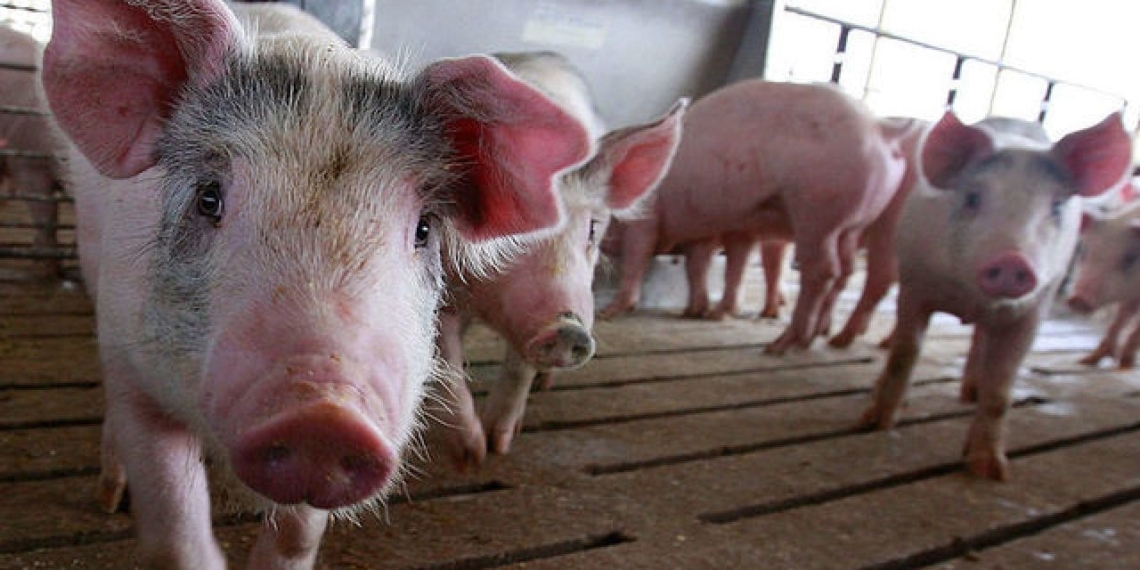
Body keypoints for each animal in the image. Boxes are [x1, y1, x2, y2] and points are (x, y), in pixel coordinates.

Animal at [43, 1, 591, 568]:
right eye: (209, 197)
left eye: (424, 228)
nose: (323, 416)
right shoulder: (130, 357)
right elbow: (175, 530)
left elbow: (296, 537)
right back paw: (110, 497)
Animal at [432, 51, 685, 470]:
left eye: (593, 228)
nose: (568, 329)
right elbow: (447, 361)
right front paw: (470, 455)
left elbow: (518, 368)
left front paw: (498, 445)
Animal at [600, 80, 907, 355]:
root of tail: (880, 128)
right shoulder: (704, 229)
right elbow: (698, 265)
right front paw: (695, 310)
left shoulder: (647, 220)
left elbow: (636, 259)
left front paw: (610, 311)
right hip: (852, 225)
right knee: (845, 270)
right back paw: (816, 339)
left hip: (819, 214)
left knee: (824, 270)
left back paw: (781, 345)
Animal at [858, 111, 1131, 481]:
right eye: (973, 197)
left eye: (1056, 206)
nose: (1012, 260)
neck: (969, 298)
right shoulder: (915, 283)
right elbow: (904, 354)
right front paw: (875, 424)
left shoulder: (1032, 311)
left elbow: (1001, 388)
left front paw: (990, 470)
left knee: (981, 342)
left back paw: (971, 393)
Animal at [1067, 201, 1140, 368]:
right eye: (1083, 251)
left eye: (1130, 259)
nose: (1079, 299)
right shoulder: (1133, 294)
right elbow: (1121, 317)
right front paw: (1085, 361)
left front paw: (1125, 365)